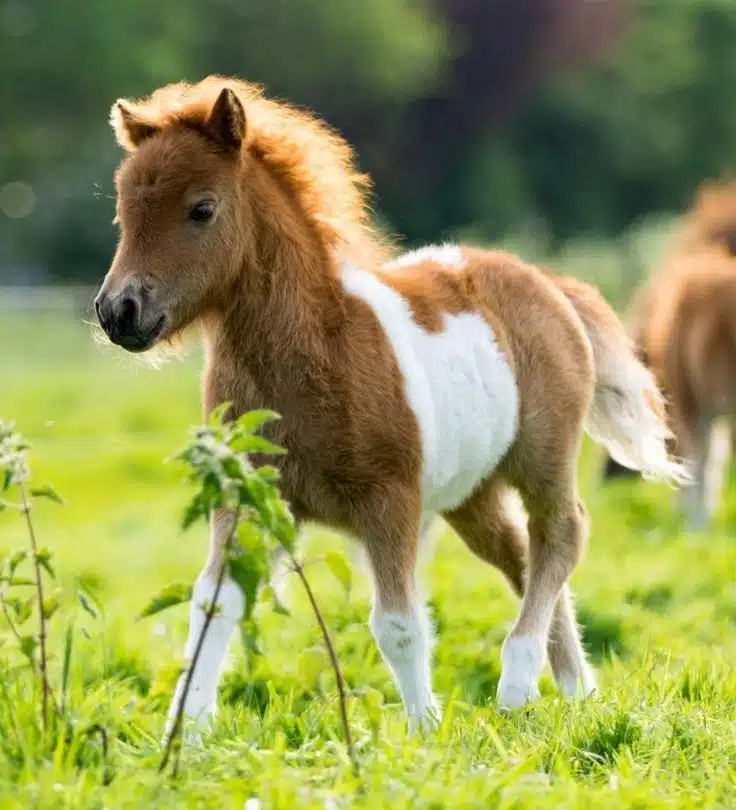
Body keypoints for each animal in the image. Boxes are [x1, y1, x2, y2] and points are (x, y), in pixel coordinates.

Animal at [93, 79, 684, 736]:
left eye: (201, 209)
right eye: (123, 211)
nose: (119, 312)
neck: (317, 350)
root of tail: (548, 282)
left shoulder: (390, 502)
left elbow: (399, 626)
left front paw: (423, 732)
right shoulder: (247, 495)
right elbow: (215, 604)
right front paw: (185, 732)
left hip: (542, 457)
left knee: (561, 534)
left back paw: (517, 682)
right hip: (471, 494)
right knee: (520, 555)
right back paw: (577, 690)